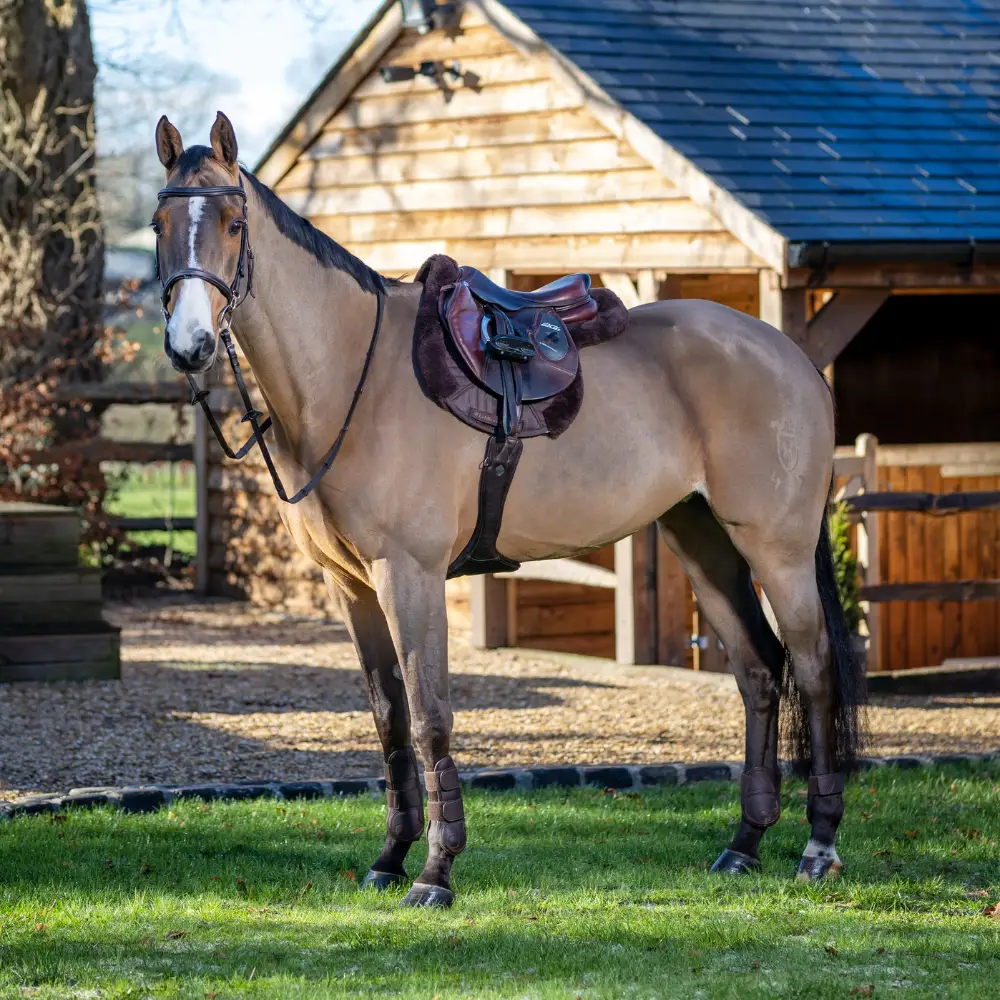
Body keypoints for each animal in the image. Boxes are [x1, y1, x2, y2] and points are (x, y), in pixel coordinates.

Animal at [152, 111, 865, 908]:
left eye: (235, 224)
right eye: (159, 223)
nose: (190, 344)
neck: (351, 376)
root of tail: (791, 357)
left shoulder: (410, 575)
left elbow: (430, 718)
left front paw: (435, 872)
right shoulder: (352, 586)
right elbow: (389, 719)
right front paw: (390, 857)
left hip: (777, 548)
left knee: (814, 669)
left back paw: (820, 847)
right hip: (703, 541)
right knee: (758, 670)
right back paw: (744, 844)